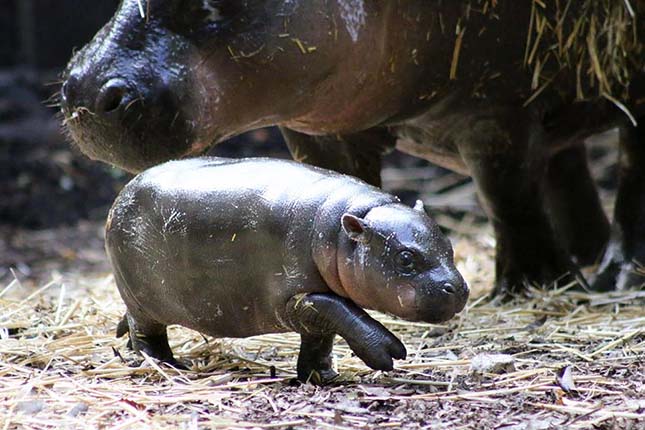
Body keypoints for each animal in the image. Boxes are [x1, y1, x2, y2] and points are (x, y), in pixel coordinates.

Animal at [61, 0, 644, 296]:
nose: (84, 91)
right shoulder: (318, 128)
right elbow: (338, 186)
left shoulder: (495, 110)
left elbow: (508, 197)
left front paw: (539, 287)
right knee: (566, 165)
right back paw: (590, 257)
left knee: (626, 175)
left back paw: (613, 277)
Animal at [105, 157, 468, 382]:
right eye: (405, 258)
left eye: (449, 246)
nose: (458, 288)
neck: (340, 232)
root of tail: (122, 193)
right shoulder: (297, 298)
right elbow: (341, 312)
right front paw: (390, 354)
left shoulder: (315, 300)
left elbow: (321, 338)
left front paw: (325, 377)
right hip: (140, 299)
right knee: (146, 331)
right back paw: (166, 364)